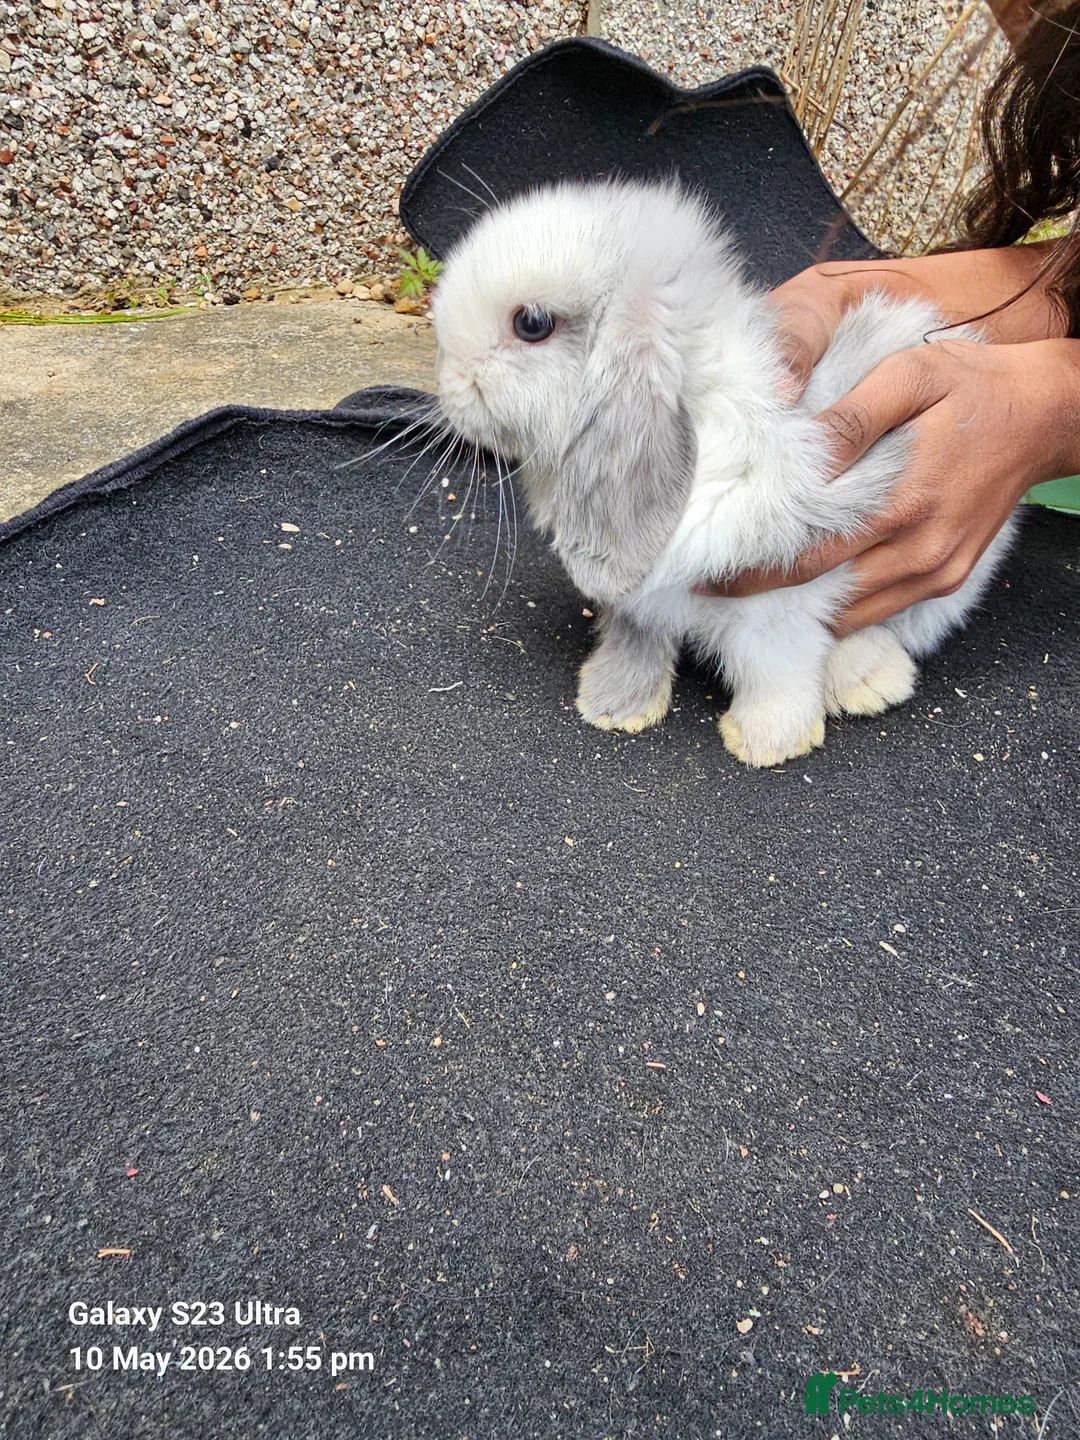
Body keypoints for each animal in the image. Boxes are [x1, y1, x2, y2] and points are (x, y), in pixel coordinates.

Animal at [429, 178, 1018, 766]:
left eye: (531, 324)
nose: (447, 384)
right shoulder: (640, 601)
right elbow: (637, 641)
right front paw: (615, 706)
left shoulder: (779, 601)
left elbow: (775, 669)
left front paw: (766, 742)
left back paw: (869, 681)